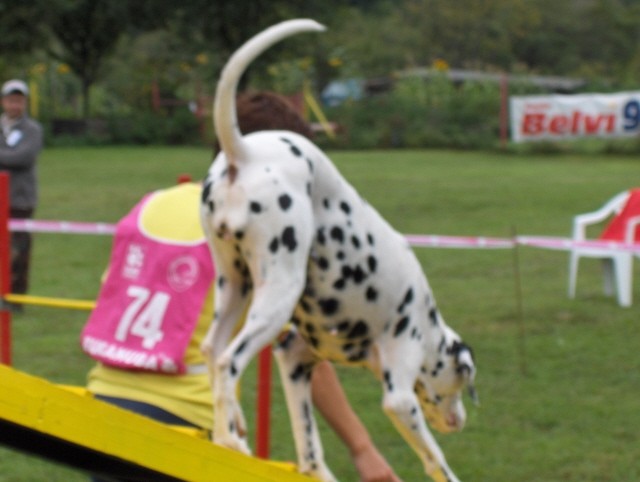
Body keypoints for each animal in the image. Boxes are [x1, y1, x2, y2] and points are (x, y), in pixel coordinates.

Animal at [202, 18, 478, 482]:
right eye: (461, 384)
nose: (461, 422)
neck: (427, 320)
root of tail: (247, 151)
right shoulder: (399, 397)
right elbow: (435, 461)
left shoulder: (296, 361)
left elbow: (310, 450)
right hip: (276, 294)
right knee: (228, 362)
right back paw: (229, 439)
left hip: (235, 288)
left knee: (211, 351)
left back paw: (233, 424)